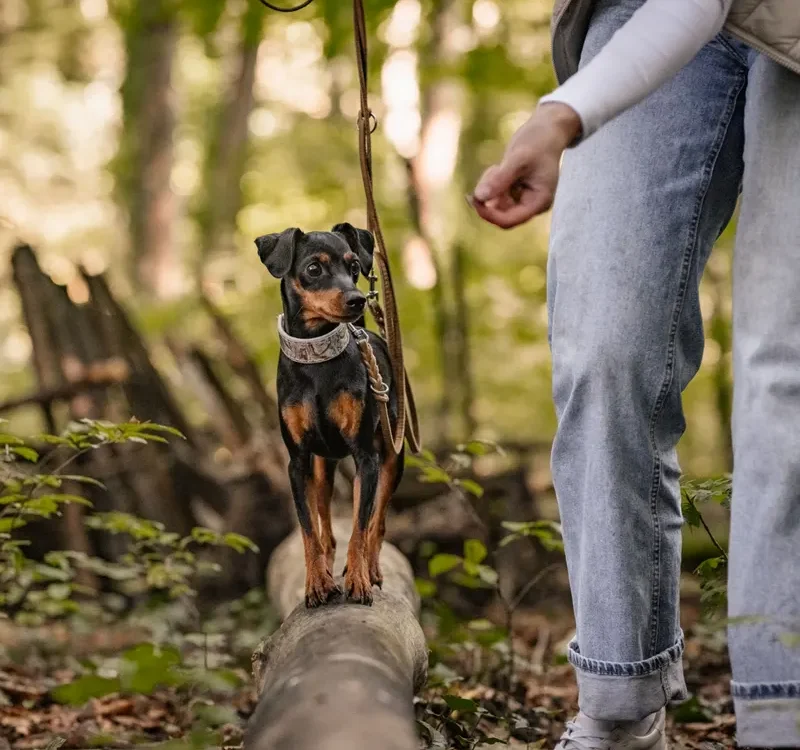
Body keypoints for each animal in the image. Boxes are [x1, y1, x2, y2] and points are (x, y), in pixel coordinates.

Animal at [256, 225, 404, 612]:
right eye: (313, 269)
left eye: (353, 267)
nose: (357, 300)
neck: (317, 361)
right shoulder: (297, 462)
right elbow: (309, 531)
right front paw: (317, 583)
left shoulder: (366, 457)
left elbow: (361, 527)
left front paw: (358, 580)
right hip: (323, 468)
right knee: (326, 528)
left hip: (391, 458)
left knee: (377, 522)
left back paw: (370, 568)